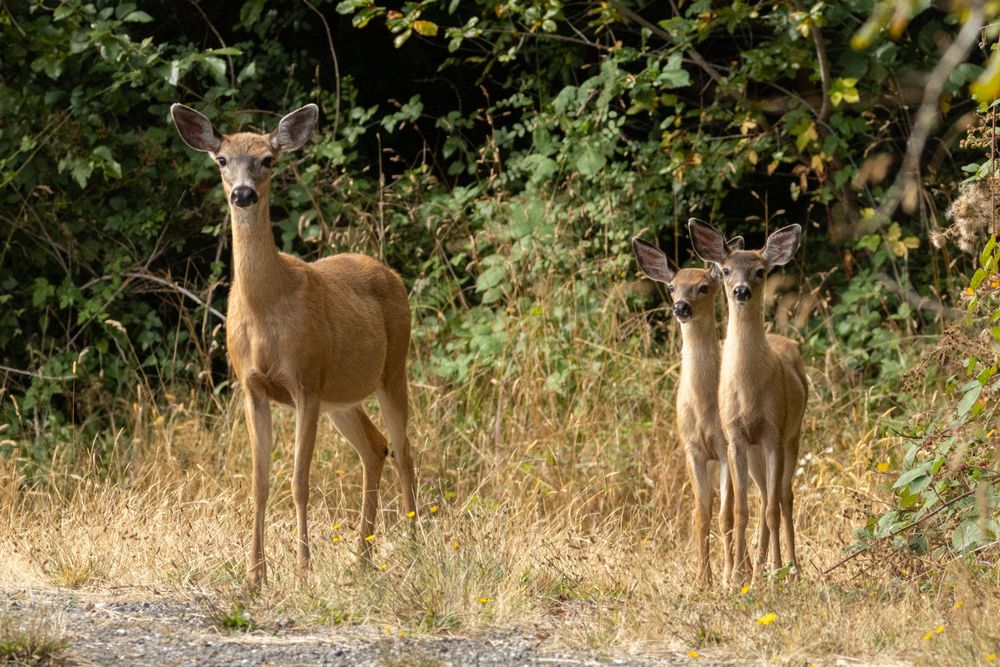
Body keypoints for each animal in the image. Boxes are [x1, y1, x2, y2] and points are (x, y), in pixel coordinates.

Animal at [170, 103, 417, 587]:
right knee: (376, 447)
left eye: (268, 159)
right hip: (341, 396)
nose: (243, 194)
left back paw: (418, 547)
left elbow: (299, 482)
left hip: (393, 367)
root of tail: (391, 273)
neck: (266, 311)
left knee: (404, 451)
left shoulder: (306, 381)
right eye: (221, 160)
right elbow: (260, 483)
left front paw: (303, 569)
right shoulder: (252, 387)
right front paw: (255, 576)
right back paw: (361, 559)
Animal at [632, 236, 768, 587]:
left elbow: (725, 514)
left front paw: (731, 575)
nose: (681, 307)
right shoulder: (691, 449)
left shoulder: (723, 447)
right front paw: (702, 578)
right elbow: (701, 514)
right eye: (671, 287)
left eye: (704, 287)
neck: (702, 407)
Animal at [688, 219, 808, 586]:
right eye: (726, 270)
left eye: (760, 271)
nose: (741, 291)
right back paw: (763, 569)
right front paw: (738, 580)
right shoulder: (736, 438)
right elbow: (741, 510)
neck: (749, 393)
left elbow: (770, 509)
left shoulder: (773, 432)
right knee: (768, 495)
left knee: (783, 497)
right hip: (756, 453)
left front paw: (767, 574)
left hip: (793, 435)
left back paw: (790, 569)